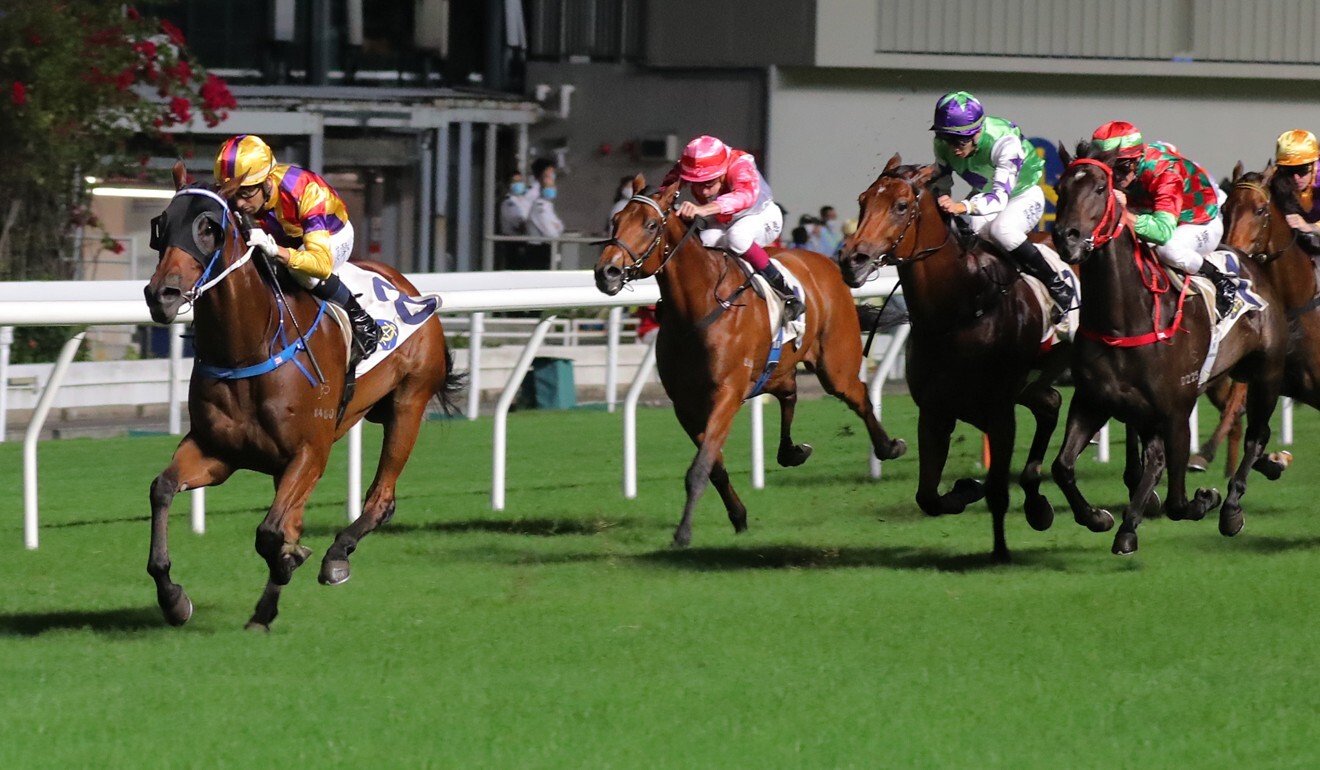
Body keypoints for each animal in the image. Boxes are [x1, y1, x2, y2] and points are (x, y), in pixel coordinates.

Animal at [142, 164, 462, 633]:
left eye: (209, 227)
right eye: (161, 226)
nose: (160, 295)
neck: (249, 348)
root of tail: (410, 288)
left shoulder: (310, 452)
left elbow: (271, 533)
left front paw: (292, 560)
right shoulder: (217, 450)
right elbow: (163, 489)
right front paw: (173, 599)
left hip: (409, 402)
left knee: (381, 498)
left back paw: (336, 556)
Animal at [591, 178, 908, 549]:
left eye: (650, 225)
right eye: (615, 222)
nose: (606, 272)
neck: (696, 309)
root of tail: (829, 264)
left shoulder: (726, 394)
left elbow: (699, 468)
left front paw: (683, 532)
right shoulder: (685, 405)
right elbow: (713, 466)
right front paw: (739, 517)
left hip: (835, 365)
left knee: (858, 395)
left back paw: (888, 446)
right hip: (777, 367)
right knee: (790, 393)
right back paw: (791, 451)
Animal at [839, 153, 1077, 560]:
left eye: (900, 206)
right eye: (862, 201)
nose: (853, 260)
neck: (961, 307)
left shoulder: (1000, 413)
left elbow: (997, 491)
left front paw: (1000, 553)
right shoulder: (935, 411)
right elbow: (928, 497)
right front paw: (967, 488)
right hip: (1035, 381)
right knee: (1050, 404)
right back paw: (1038, 504)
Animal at [1045, 143, 1283, 554]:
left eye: (1100, 189)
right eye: (1060, 187)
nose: (1066, 238)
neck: (1124, 319)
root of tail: (1251, 261)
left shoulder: (1176, 409)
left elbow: (1178, 501)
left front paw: (1207, 498)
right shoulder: (1094, 400)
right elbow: (1062, 466)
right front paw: (1099, 518)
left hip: (1265, 373)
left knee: (1257, 435)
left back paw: (1231, 507)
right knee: (1157, 456)